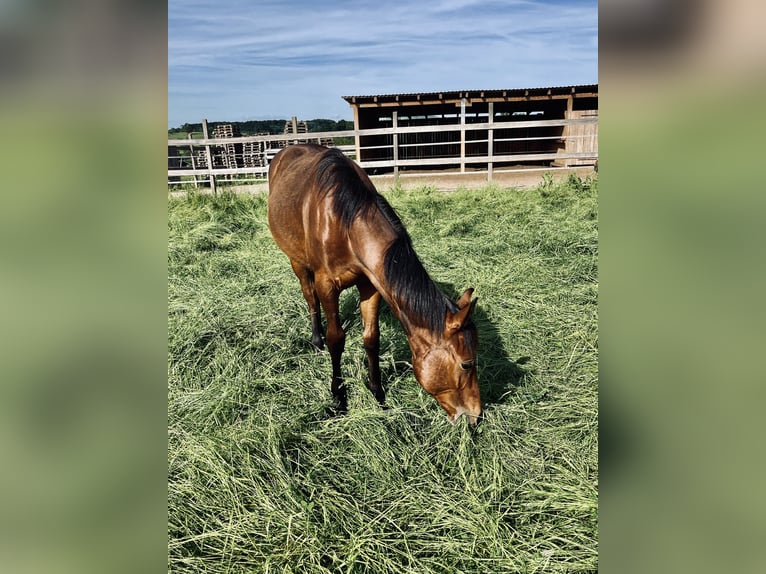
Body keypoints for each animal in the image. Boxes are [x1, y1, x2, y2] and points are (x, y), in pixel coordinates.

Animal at [267, 144, 482, 426]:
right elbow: (336, 338)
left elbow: (371, 338)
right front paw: (339, 397)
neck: (346, 223)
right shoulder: (327, 285)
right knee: (310, 297)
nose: (477, 415)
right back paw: (315, 340)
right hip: (297, 261)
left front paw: (377, 393)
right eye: (466, 364)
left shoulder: (371, 285)